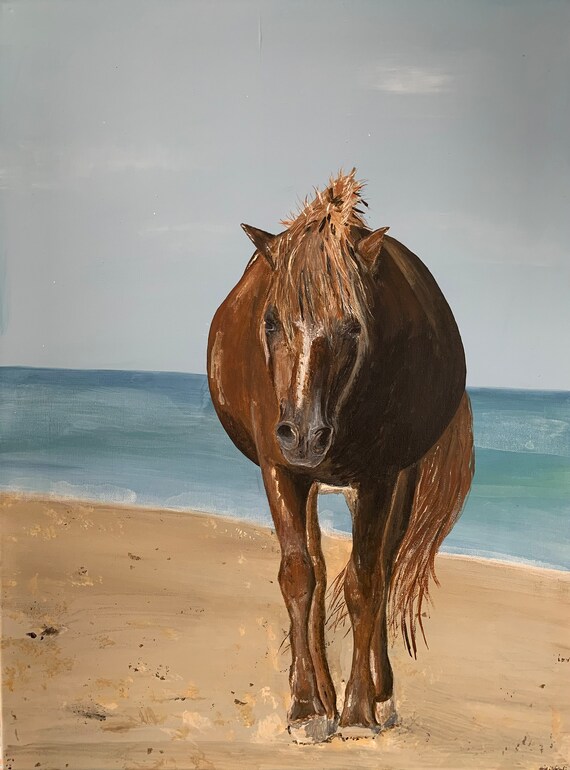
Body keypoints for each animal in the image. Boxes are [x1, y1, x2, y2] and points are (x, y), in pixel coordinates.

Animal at [207, 170, 474, 743]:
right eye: (270, 322)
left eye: (353, 326)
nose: (305, 435)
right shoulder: (280, 471)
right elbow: (299, 576)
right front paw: (308, 706)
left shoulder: (378, 478)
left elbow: (365, 583)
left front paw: (357, 712)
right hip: (308, 481)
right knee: (318, 568)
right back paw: (318, 689)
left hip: (397, 482)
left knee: (384, 569)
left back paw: (379, 694)